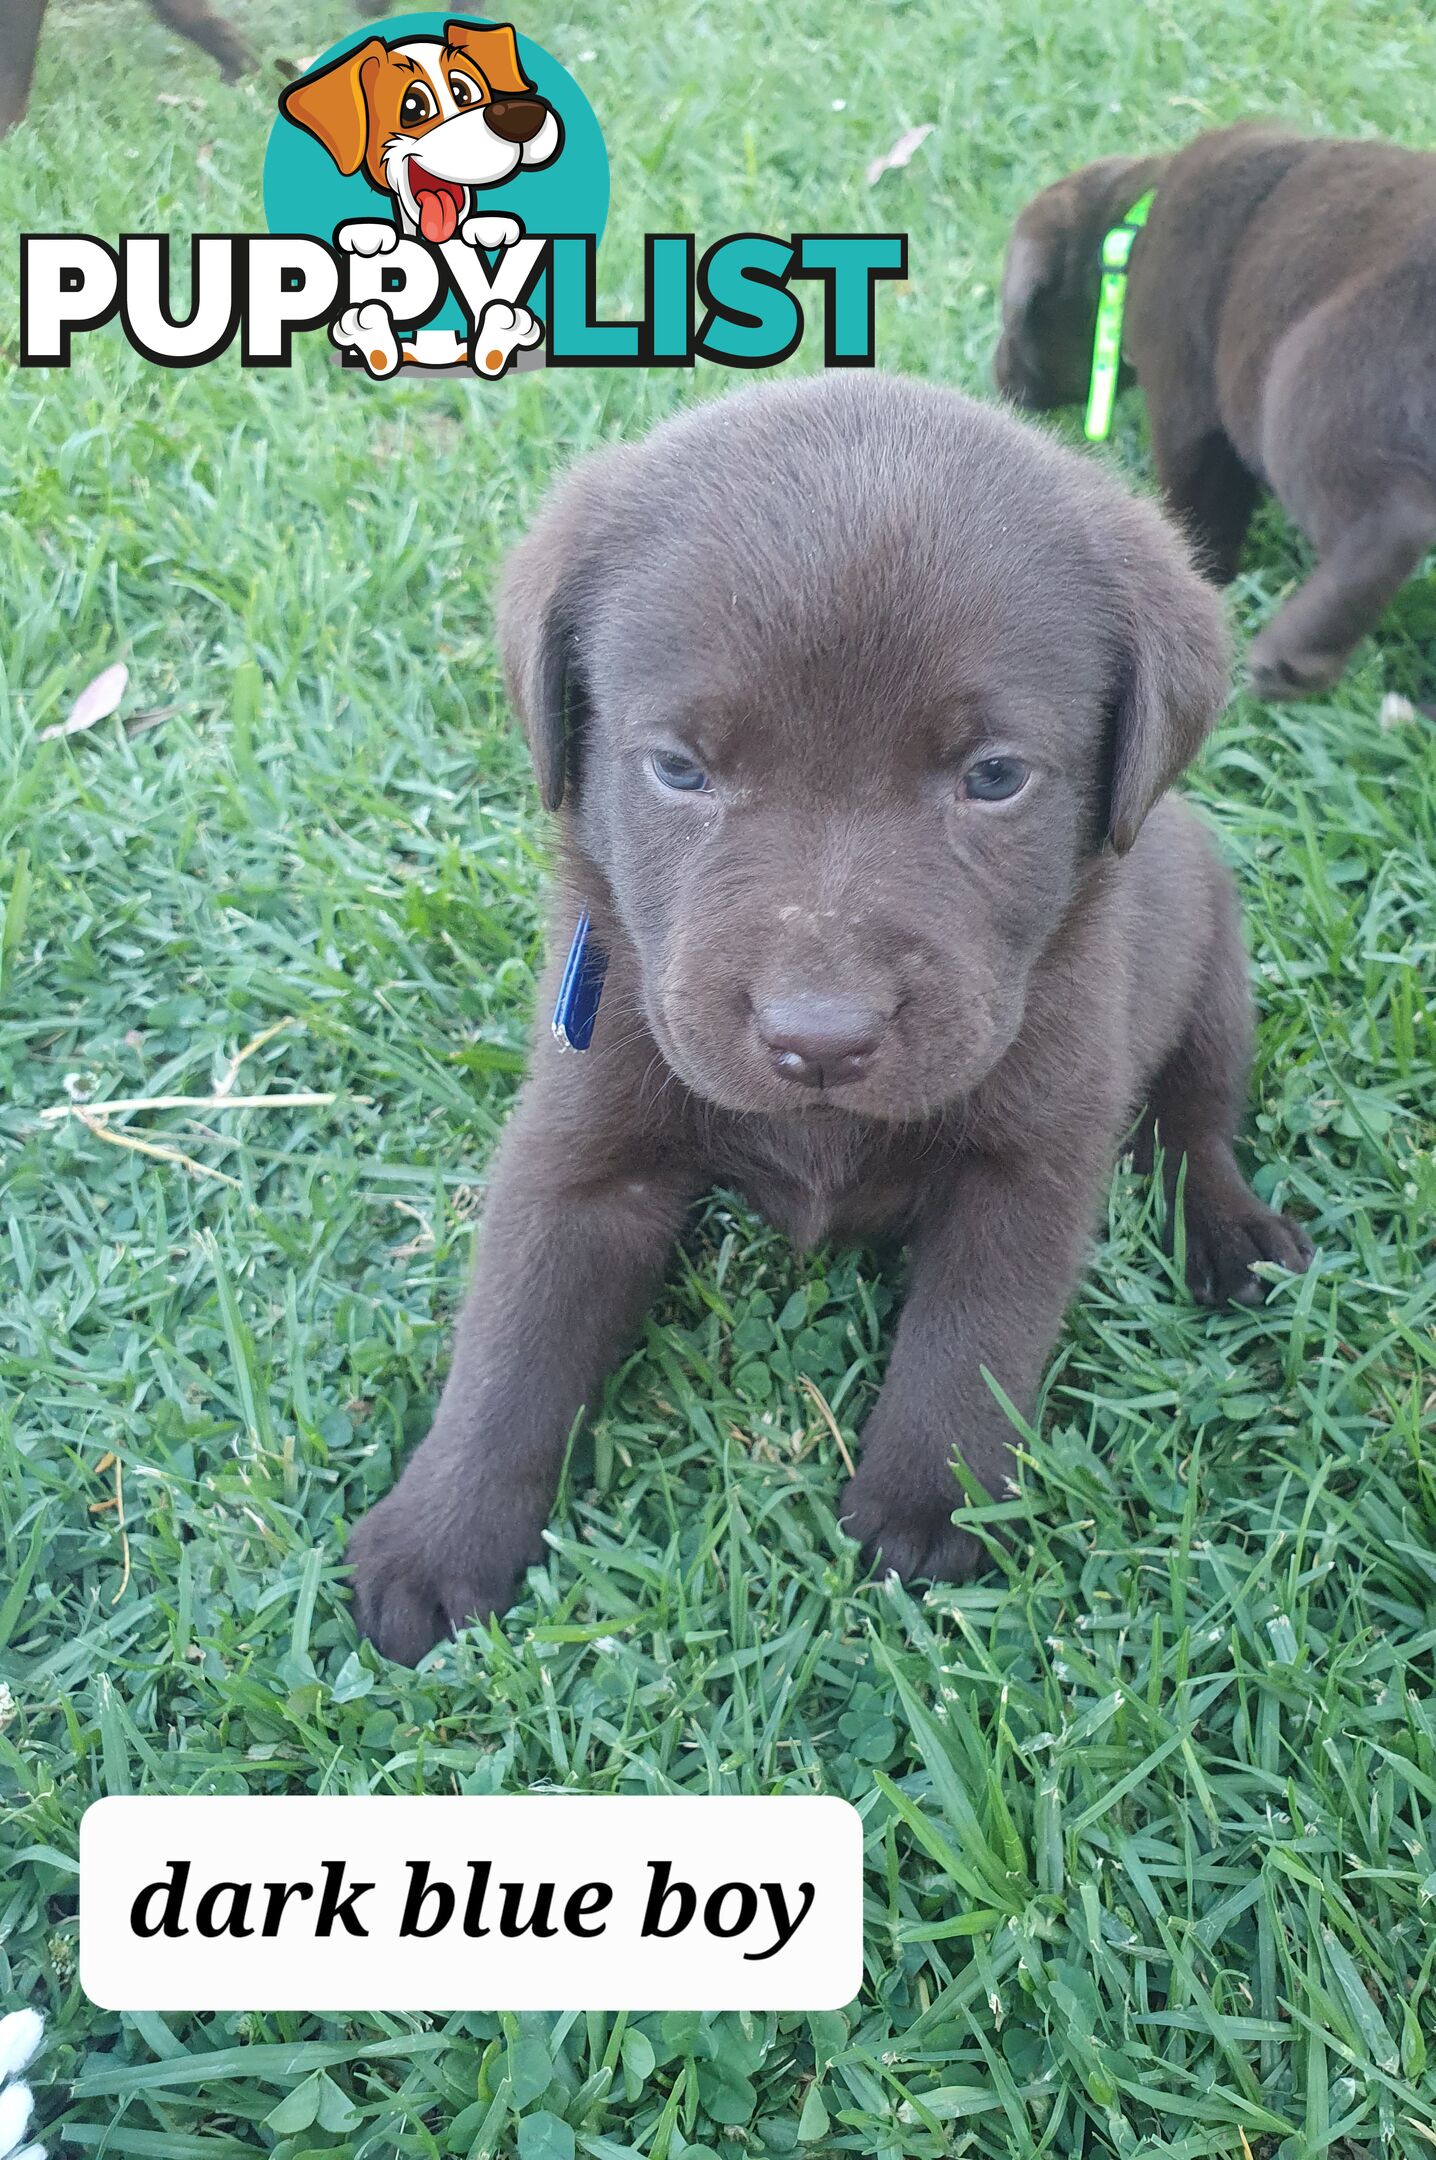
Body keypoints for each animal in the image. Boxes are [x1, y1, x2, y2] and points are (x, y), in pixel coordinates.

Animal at [993, 122, 1433, 699]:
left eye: (1012, 317)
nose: (995, 380)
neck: (1132, 231)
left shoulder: (1185, 399)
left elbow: (1200, 498)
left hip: (1322, 375)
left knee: (1392, 516)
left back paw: (1291, 662)